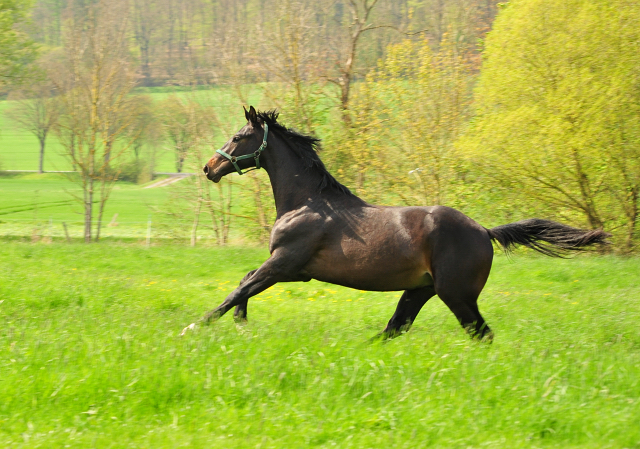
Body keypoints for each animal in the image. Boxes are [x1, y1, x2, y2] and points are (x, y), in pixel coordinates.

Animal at [181, 107, 608, 340]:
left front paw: (195, 327)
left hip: (456, 294)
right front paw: (241, 324)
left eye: (239, 136)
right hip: (421, 290)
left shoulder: (285, 263)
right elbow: (243, 283)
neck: (306, 203)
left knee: (479, 333)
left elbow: (238, 289)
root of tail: (484, 231)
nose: (209, 168)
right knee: (396, 327)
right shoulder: (294, 270)